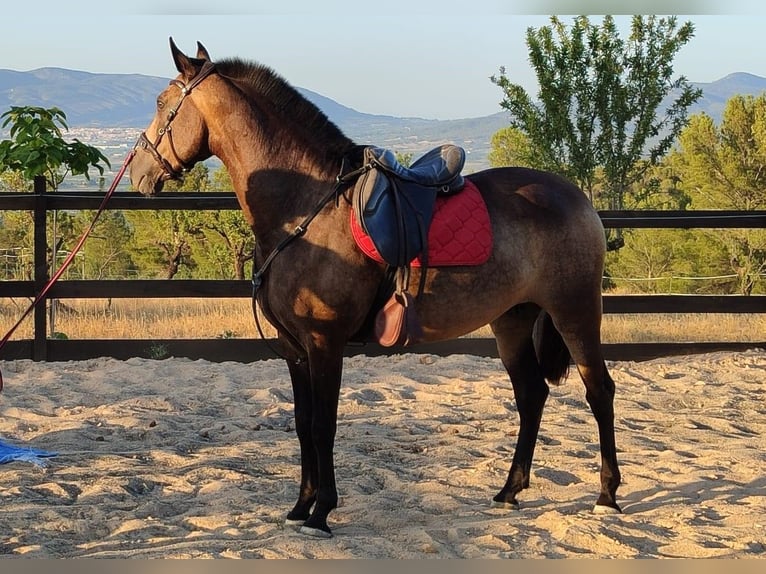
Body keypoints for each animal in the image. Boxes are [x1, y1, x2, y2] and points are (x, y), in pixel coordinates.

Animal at [130, 40, 624, 540]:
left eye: (161, 104)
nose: (137, 172)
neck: (303, 208)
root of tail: (577, 198)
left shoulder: (324, 343)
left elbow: (324, 426)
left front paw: (322, 512)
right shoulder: (295, 349)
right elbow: (303, 424)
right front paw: (300, 506)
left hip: (575, 312)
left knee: (598, 391)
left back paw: (606, 495)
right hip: (512, 320)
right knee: (531, 395)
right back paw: (509, 491)